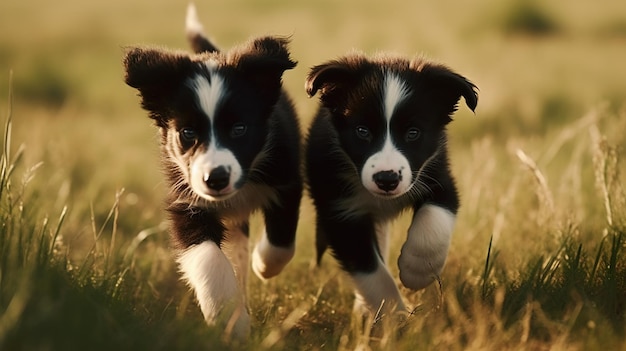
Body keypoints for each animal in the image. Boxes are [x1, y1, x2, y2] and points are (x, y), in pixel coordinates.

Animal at [122, 5, 302, 340]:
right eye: (188, 133)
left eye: (239, 128)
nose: (215, 179)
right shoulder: (186, 200)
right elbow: (208, 258)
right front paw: (230, 319)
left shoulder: (286, 179)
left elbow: (281, 242)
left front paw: (264, 264)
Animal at [304, 53, 476, 320]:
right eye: (362, 131)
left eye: (413, 133)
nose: (386, 179)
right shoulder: (339, 211)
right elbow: (372, 272)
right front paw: (394, 317)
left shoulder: (439, 177)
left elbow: (434, 220)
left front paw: (417, 271)